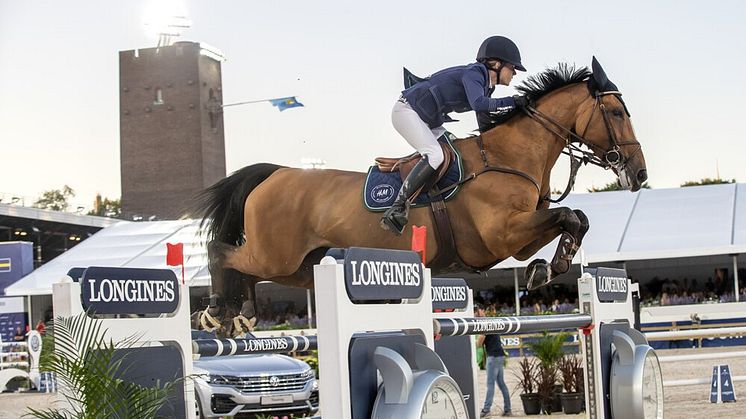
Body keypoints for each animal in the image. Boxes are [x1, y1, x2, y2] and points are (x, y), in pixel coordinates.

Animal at [190, 58, 644, 338]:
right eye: (617, 113)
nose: (639, 174)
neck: (507, 158)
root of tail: (276, 174)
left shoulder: (515, 241)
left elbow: (575, 218)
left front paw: (546, 268)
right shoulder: (501, 235)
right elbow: (570, 215)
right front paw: (549, 268)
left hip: (297, 267)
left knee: (246, 269)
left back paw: (241, 317)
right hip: (277, 255)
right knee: (222, 252)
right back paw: (215, 312)